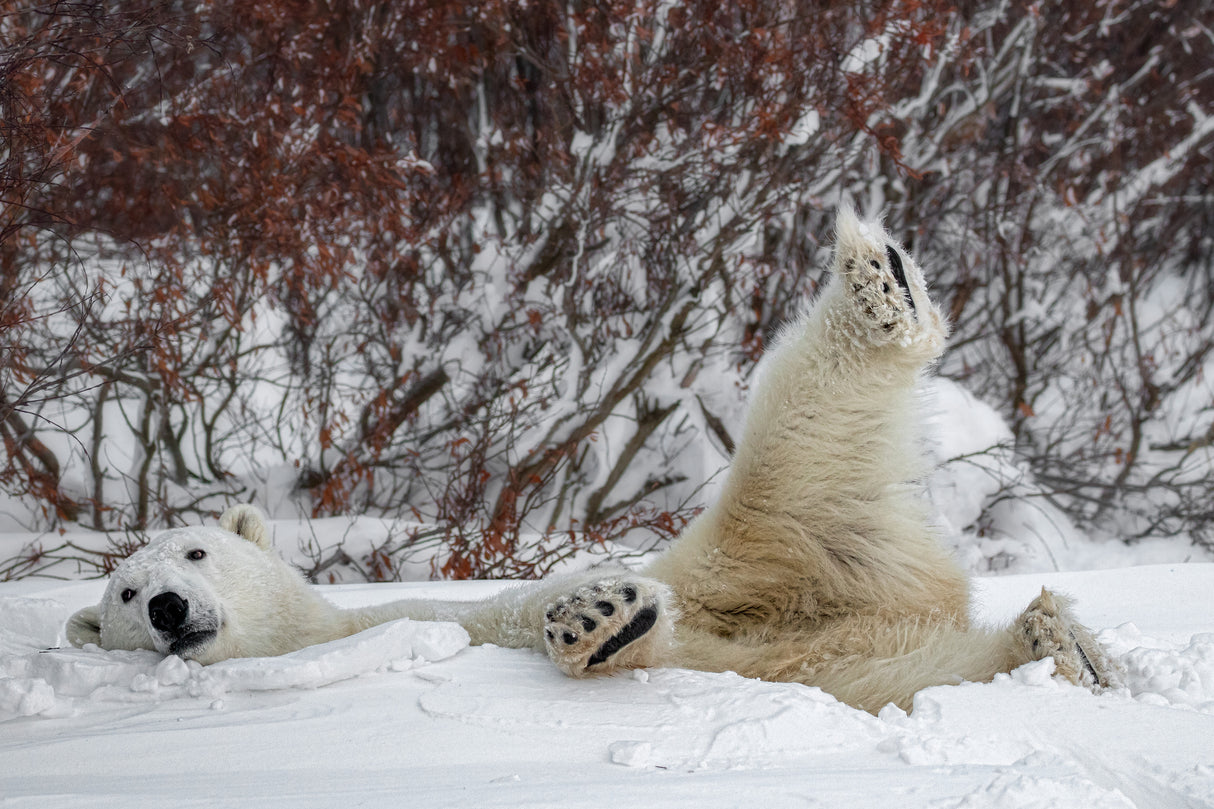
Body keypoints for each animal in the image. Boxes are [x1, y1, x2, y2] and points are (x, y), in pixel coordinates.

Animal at [67, 207, 1120, 713]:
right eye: (124, 593)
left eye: (195, 551)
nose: (168, 606)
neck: (310, 635)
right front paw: (605, 621)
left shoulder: (446, 613)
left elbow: (514, 607)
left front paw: (596, 607)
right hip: (854, 647)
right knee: (923, 661)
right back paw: (1060, 650)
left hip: (774, 548)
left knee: (791, 452)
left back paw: (876, 285)